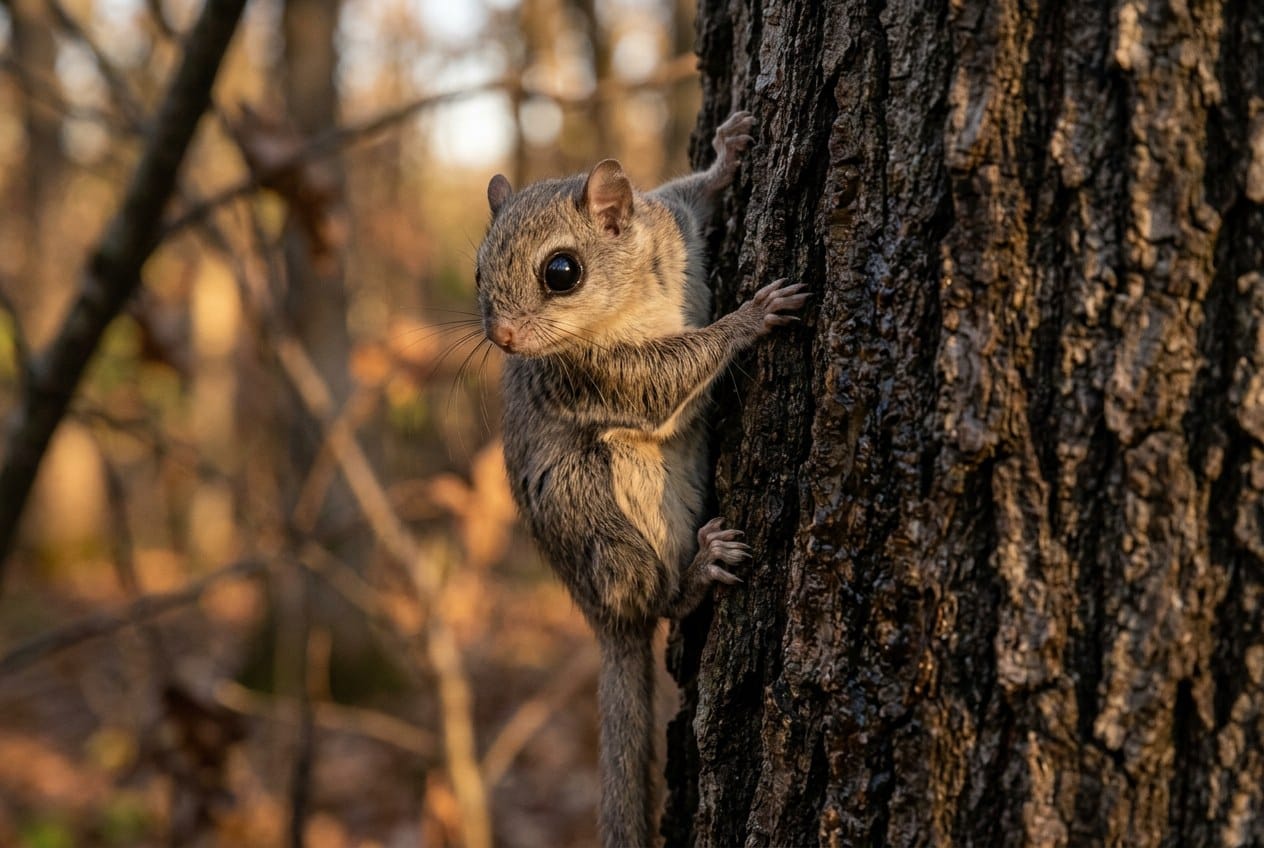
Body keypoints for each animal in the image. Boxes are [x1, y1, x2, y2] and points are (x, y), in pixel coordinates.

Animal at [475, 111, 809, 847]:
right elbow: (671, 376)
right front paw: (752, 316)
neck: (633, 285)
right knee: (657, 599)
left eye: (561, 271)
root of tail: (603, 618)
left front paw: (728, 153)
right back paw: (697, 574)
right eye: (478, 269)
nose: (504, 338)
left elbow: (694, 193)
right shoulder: (603, 375)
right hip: (611, 517)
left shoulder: (673, 220)